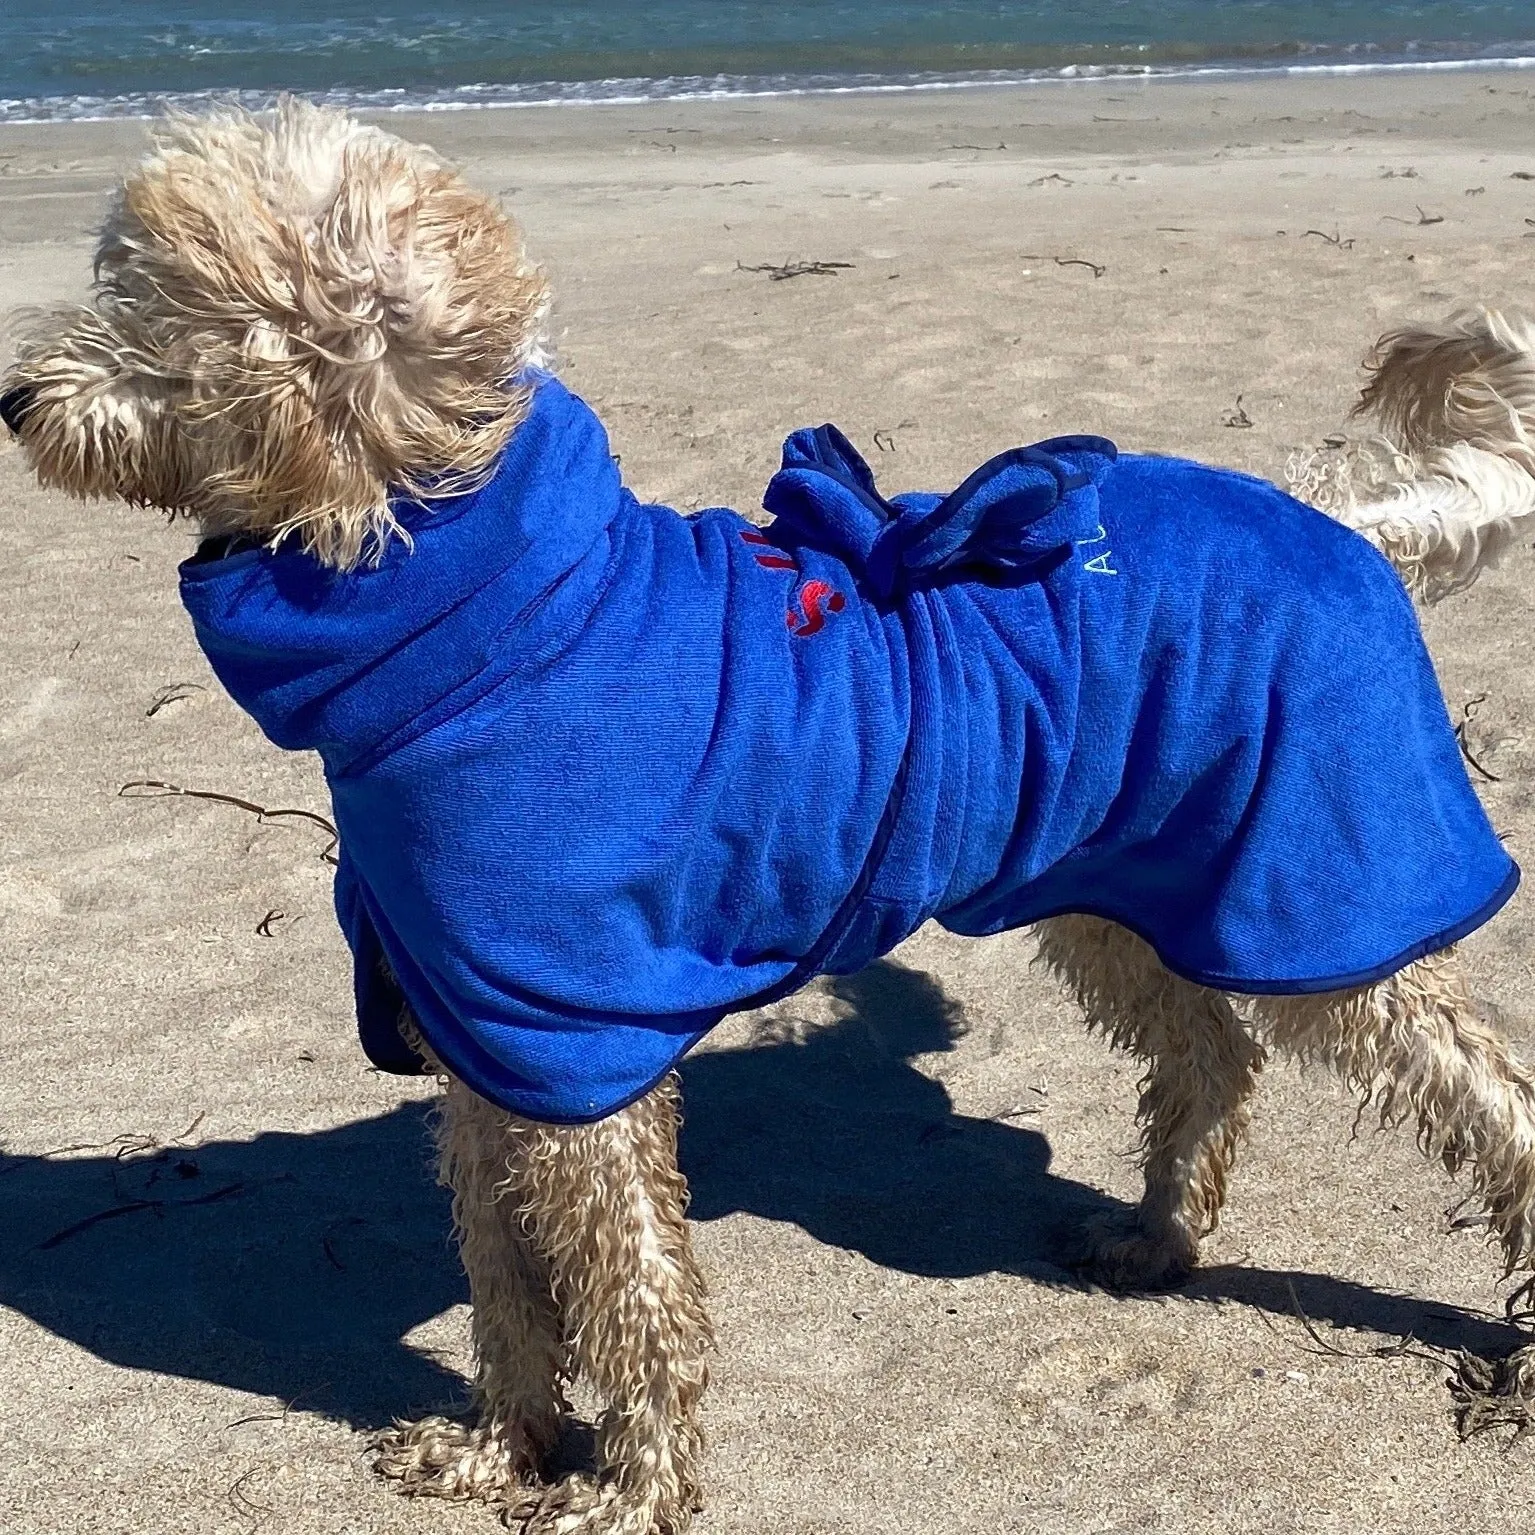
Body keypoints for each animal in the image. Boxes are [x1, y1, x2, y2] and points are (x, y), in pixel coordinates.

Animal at [9, 99, 1535, 1535]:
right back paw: (1156, 1237)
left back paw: (1505, 1360)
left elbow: (630, 1291)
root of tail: (1329, 515)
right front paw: (501, 1447)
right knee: (1211, 1053)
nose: (18, 396)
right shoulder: (483, 1034)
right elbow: (503, 1280)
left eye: (142, 312)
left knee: (1484, 1095)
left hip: (1325, 890)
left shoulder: (570, 1039)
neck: (491, 604)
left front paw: (633, 1487)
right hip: (1116, 883)